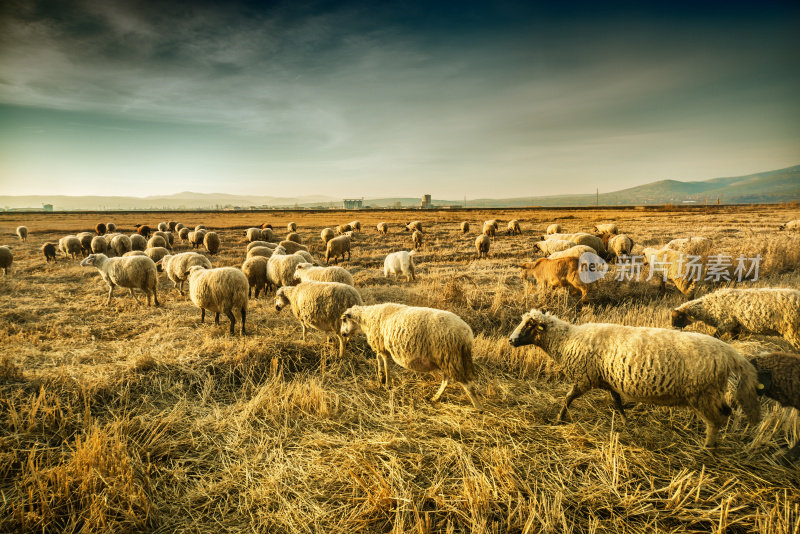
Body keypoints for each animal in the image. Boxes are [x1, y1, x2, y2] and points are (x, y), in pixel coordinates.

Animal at [338, 304, 482, 412]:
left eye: (344, 320)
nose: (342, 334)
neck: (366, 319)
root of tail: (467, 334)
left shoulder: (382, 347)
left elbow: (386, 365)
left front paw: (387, 384)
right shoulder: (381, 346)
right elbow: (379, 361)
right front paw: (380, 379)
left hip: (451, 357)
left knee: (466, 384)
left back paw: (478, 407)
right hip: (446, 359)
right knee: (446, 380)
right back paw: (435, 397)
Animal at [510, 310, 760, 448]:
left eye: (529, 325)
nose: (511, 340)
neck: (567, 340)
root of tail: (730, 354)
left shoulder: (584, 378)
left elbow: (568, 398)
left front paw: (559, 418)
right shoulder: (608, 380)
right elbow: (617, 401)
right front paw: (624, 421)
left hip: (702, 394)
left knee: (716, 420)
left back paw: (707, 447)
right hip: (710, 393)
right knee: (726, 412)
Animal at [668, 288, 800, 352]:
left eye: (679, 317)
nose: (673, 329)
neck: (709, 306)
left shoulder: (726, 323)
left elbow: (715, 337)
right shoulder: (735, 327)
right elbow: (733, 339)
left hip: (794, 331)